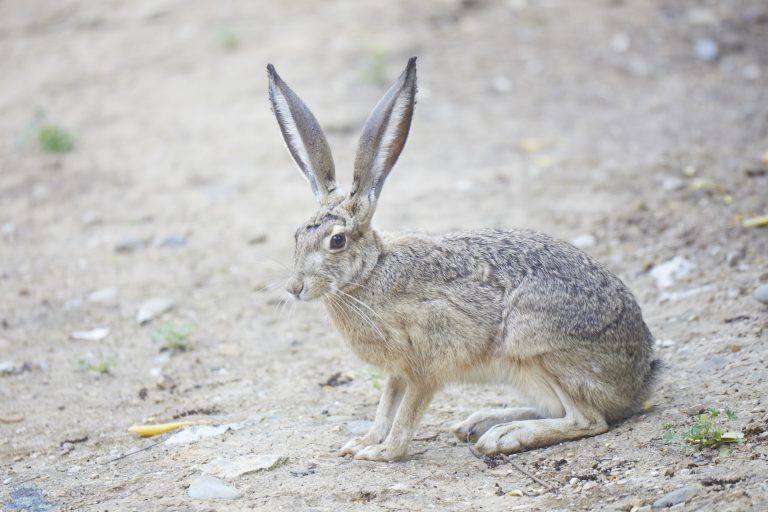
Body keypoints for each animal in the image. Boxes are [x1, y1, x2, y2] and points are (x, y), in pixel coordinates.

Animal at [266, 57, 660, 462]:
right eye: (296, 236)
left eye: (337, 241)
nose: (294, 287)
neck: (371, 272)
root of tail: (639, 380)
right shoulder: (397, 370)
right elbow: (385, 405)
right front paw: (362, 443)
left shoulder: (427, 363)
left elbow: (406, 413)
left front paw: (384, 452)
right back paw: (481, 422)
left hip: (536, 348)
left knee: (588, 419)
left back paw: (505, 436)